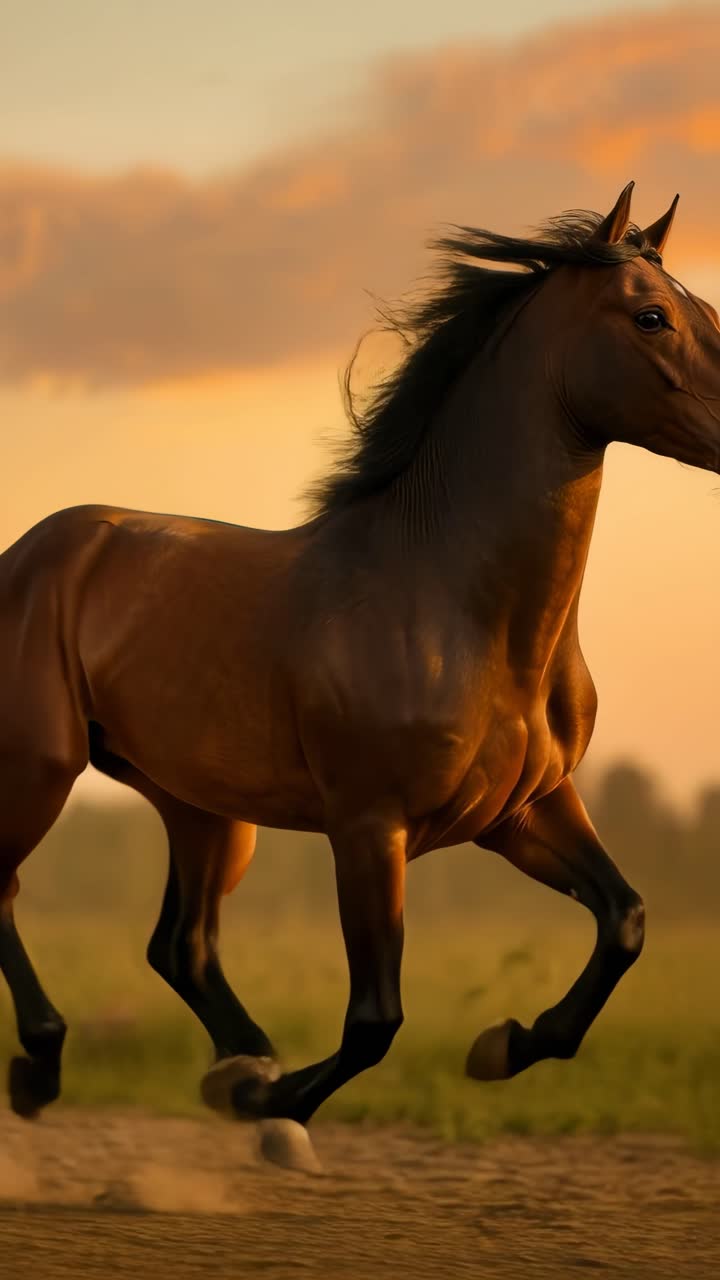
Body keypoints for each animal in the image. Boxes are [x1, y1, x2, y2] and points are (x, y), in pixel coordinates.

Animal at [1, 182, 719, 1170]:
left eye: (706, 310)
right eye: (651, 317)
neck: (461, 608)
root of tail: (32, 550)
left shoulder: (528, 810)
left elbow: (626, 920)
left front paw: (502, 1046)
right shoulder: (371, 828)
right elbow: (377, 1018)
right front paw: (272, 1104)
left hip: (202, 808)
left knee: (181, 946)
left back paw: (240, 1067)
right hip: (40, 768)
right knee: (9, 892)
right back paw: (46, 1070)